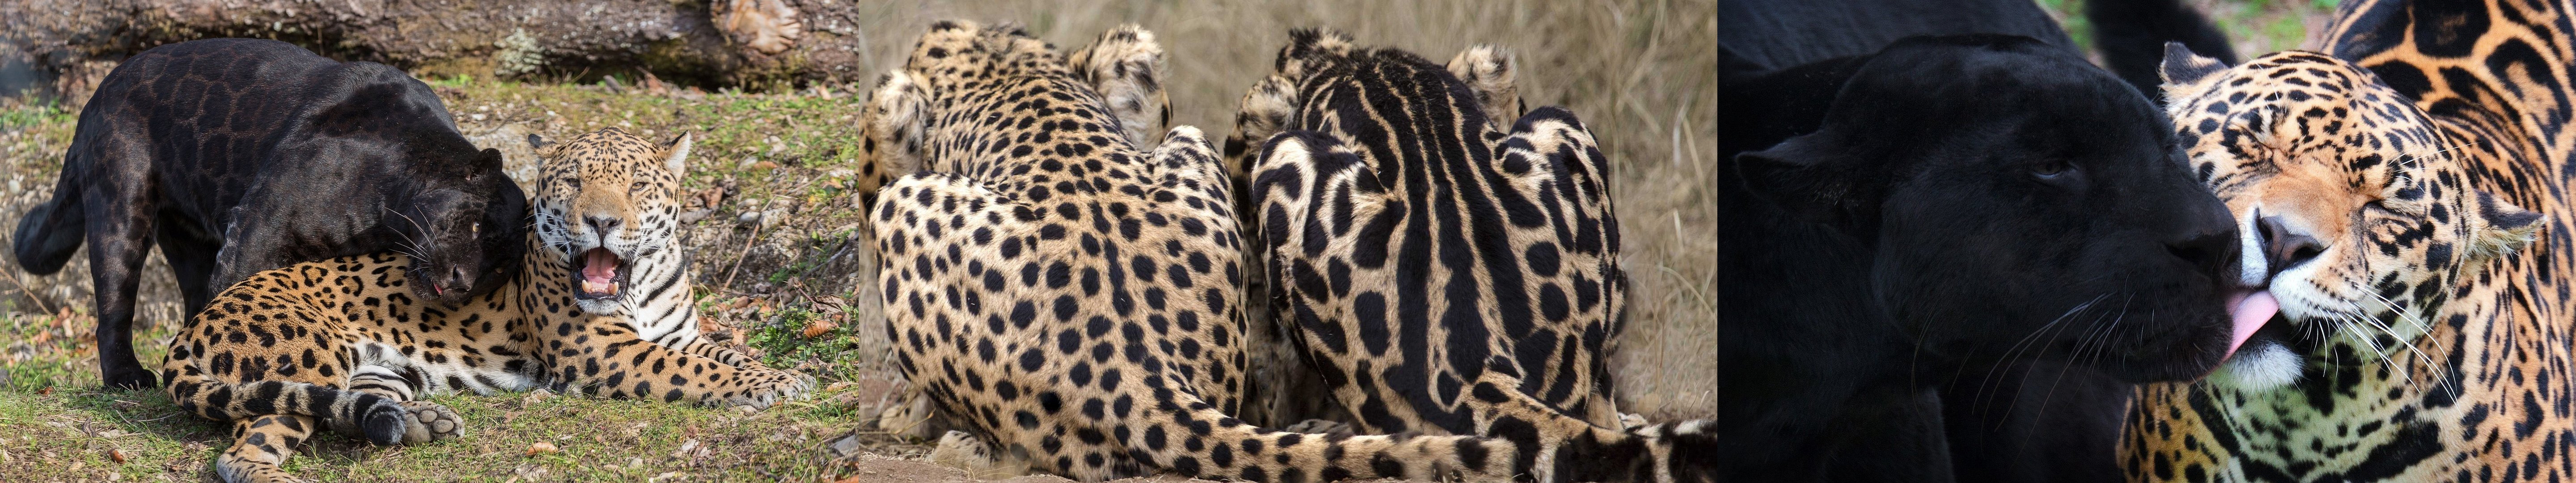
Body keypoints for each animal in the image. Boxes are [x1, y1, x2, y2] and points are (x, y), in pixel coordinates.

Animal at [158, 127, 812, 483]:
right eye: (573, 183)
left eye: (637, 187)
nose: (602, 223)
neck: (639, 279)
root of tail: (194, 324)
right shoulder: (601, 352)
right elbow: (695, 372)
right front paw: (774, 387)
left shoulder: (680, 334)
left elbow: (725, 355)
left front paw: (785, 374)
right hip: (308, 360)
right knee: (243, 452)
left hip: (375, 370)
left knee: (352, 408)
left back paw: (424, 422)